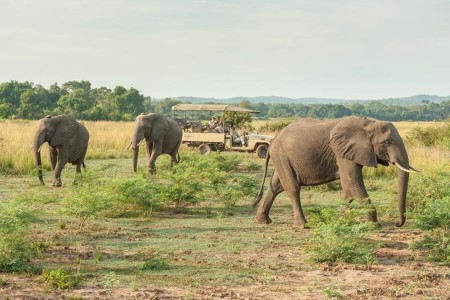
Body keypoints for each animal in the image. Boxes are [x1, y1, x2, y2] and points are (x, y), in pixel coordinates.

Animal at [253, 116, 418, 227]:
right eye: (386, 142)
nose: (397, 223)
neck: (369, 123)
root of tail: (274, 139)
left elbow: (348, 187)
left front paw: (339, 219)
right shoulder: (342, 152)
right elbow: (352, 181)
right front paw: (374, 224)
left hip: (282, 157)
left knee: (276, 187)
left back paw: (263, 221)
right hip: (281, 155)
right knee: (292, 187)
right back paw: (302, 225)